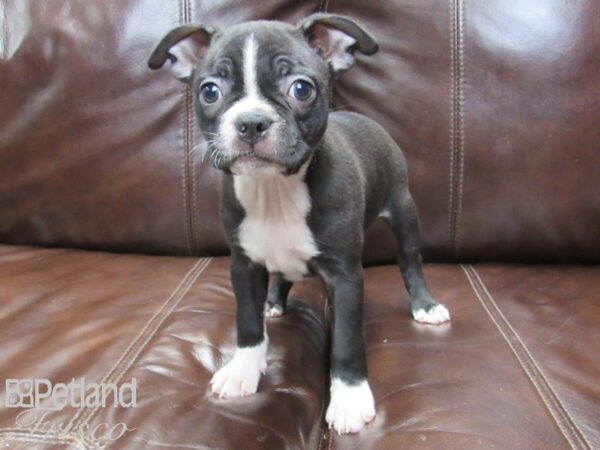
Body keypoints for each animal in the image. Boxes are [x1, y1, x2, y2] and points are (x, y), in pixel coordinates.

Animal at [150, 14, 450, 434]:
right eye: (209, 91)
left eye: (301, 89)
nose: (251, 122)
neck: (275, 190)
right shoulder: (244, 265)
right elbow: (246, 323)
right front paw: (243, 369)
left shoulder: (345, 276)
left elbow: (346, 342)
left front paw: (350, 396)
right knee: (283, 276)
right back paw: (274, 302)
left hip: (404, 210)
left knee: (410, 262)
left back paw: (425, 305)